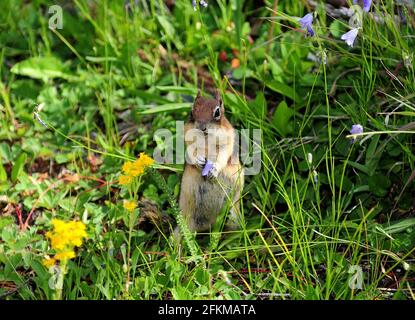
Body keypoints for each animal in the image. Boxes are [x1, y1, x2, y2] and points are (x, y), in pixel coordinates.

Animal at [179, 90, 244, 232]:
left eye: (217, 112)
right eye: (192, 111)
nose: (201, 127)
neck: (207, 139)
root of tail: (208, 225)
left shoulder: (227, 141)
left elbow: (223, 155)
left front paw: (214, 170)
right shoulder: (189, 141)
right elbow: (191, 152)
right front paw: (199, 161)